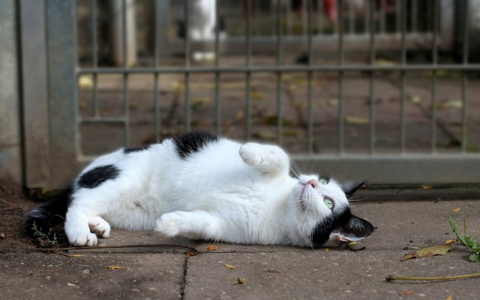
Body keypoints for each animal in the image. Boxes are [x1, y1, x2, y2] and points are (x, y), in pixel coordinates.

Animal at [24, 132, 374, 247]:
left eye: (328, 204)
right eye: (324, 182)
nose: (311, 182)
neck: (279, 204)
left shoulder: (225, 226)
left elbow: (203, 224)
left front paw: (171, 224)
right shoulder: (281, 173)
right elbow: (279, 156)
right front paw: (249, 151)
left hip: (129, 209)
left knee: (82, 202)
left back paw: (93, 226)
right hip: (125, 178)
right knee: (77, 200)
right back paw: (81, 230)